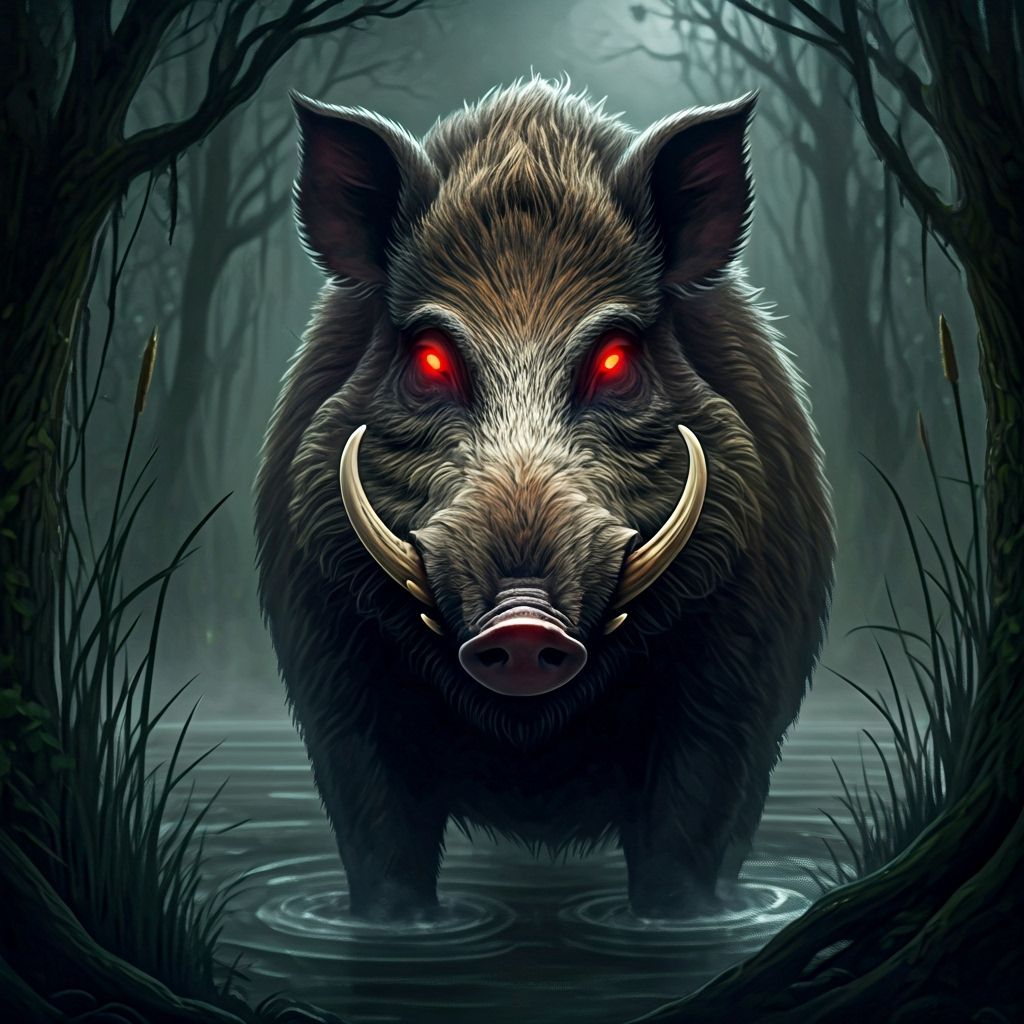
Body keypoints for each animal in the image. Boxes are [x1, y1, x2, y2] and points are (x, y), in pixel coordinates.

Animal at [255, 78, 833, 922]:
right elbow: (384, 848)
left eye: (616, 359)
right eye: (430, 359)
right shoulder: (336, 694)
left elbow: (683, 843)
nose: (523, 625)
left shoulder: (736, 693)